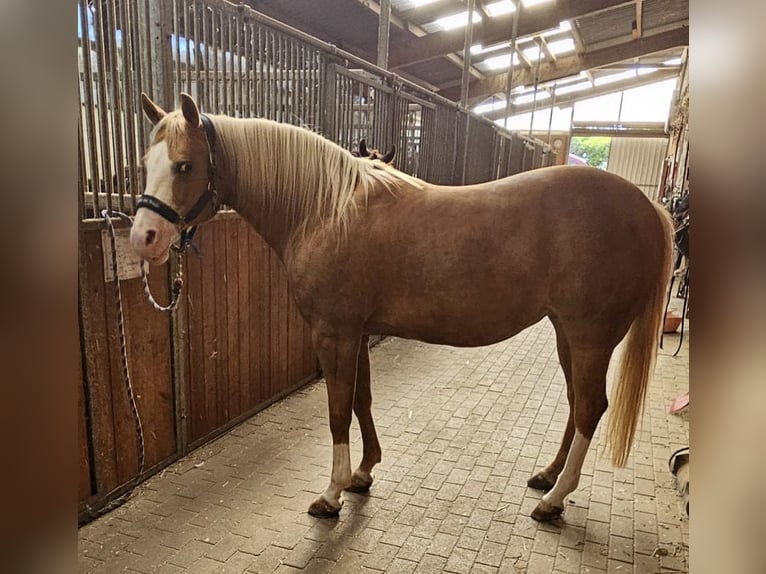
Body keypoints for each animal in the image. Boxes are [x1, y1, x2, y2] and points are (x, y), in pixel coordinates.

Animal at [132, 93, 672, 520]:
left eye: (185, 165)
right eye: (145, 162)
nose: (144, 238)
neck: (326, 210)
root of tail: (647, 209)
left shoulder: (334, 333)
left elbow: (337, 411)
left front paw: (331, 494)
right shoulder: (358, 332)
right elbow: (362, 401)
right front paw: (362, 473)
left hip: (590, 336)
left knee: (590, 408)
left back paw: (554, 500)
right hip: (566, 333)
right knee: (578, 405)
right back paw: (546, 477)